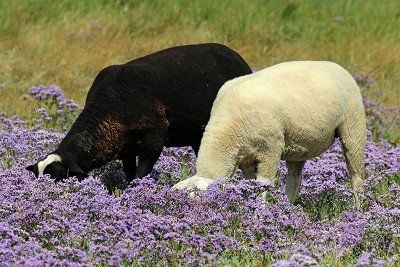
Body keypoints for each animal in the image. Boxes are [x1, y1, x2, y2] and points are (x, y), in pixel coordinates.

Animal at [26, 43, 252, 182]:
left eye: (58, 178)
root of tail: (236, 57)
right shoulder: (126, 146)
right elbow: (129, 173)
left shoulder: (154, 140)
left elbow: (141, 174)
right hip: (198, 133)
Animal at [173, 60, 368, 205]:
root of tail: (334, 65)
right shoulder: (246, 158)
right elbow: (250, 186)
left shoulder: (271, 150)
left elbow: (262, 186)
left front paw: (259, 213)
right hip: (299, 145)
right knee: (294, 180)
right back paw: (287, 208)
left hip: (353, 128)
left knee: (356, 177)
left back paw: (358, 211)